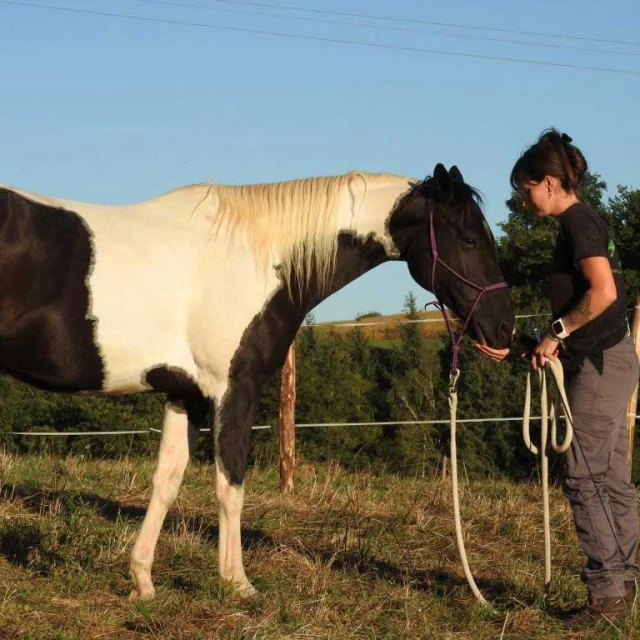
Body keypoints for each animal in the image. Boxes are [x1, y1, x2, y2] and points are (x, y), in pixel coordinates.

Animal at [0, 162, 512, 596]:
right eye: (469, 239)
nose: (503, 331)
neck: (257, 256)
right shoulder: (233, 391)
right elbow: (230, 486)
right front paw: (237, 584)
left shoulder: (184, 394)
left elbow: (167, 480)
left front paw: (142, 581)